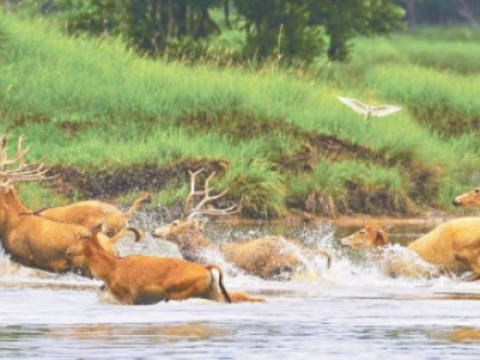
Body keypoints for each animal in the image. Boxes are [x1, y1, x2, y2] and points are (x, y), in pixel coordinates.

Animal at [65, 225, 264, 304]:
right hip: (212, 292)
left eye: (80, 236)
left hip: (178, 293)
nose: (67, 251)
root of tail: (207, 269)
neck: (112, 269)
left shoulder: (129, 297)